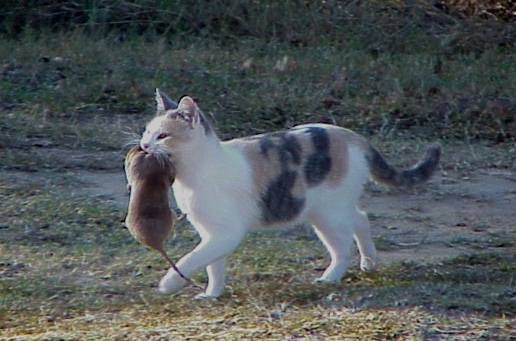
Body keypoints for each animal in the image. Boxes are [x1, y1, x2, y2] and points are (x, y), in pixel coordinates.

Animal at [140, 88, 440, 298]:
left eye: (162, 136)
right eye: (146, 132)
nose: (143, 145)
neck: (195, 173)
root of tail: (352, 136)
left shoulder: (226, 233)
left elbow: (191, 259)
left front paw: (169, 283)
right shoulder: (211, 233)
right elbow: (213, 265)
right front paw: (211, 294)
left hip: (328, 215)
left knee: (343, 246)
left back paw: (330, 277)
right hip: (331, 209)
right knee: (361, 219)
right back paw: (369, 262)